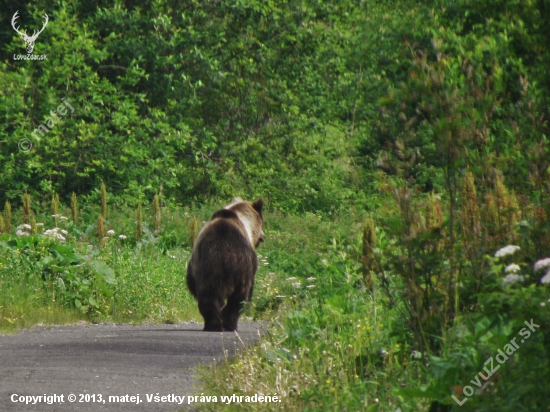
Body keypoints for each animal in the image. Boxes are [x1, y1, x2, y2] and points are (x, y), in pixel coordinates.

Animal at [187, 199, 266, 332]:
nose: (263, 236)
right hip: (241, 269)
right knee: (238, 298)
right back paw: (227, 324)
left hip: (209, 266)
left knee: (209, 296)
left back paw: (214, 324)